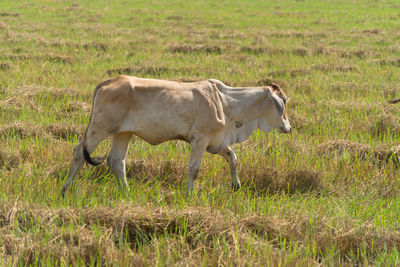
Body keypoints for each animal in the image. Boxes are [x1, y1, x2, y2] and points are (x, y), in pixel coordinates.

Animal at [60, 76, 290, 197]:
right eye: (284, 101)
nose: (288, 127)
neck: (227, 102)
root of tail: (109, 82)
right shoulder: (199, 140)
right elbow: (194, 170)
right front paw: (189, 195)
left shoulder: (216, 142)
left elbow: (233, 158)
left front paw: (236, 185)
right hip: (99, 128)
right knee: (79, 153)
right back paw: (65, 189)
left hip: (123, 133)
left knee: (116, 161)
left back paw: (126, 191)